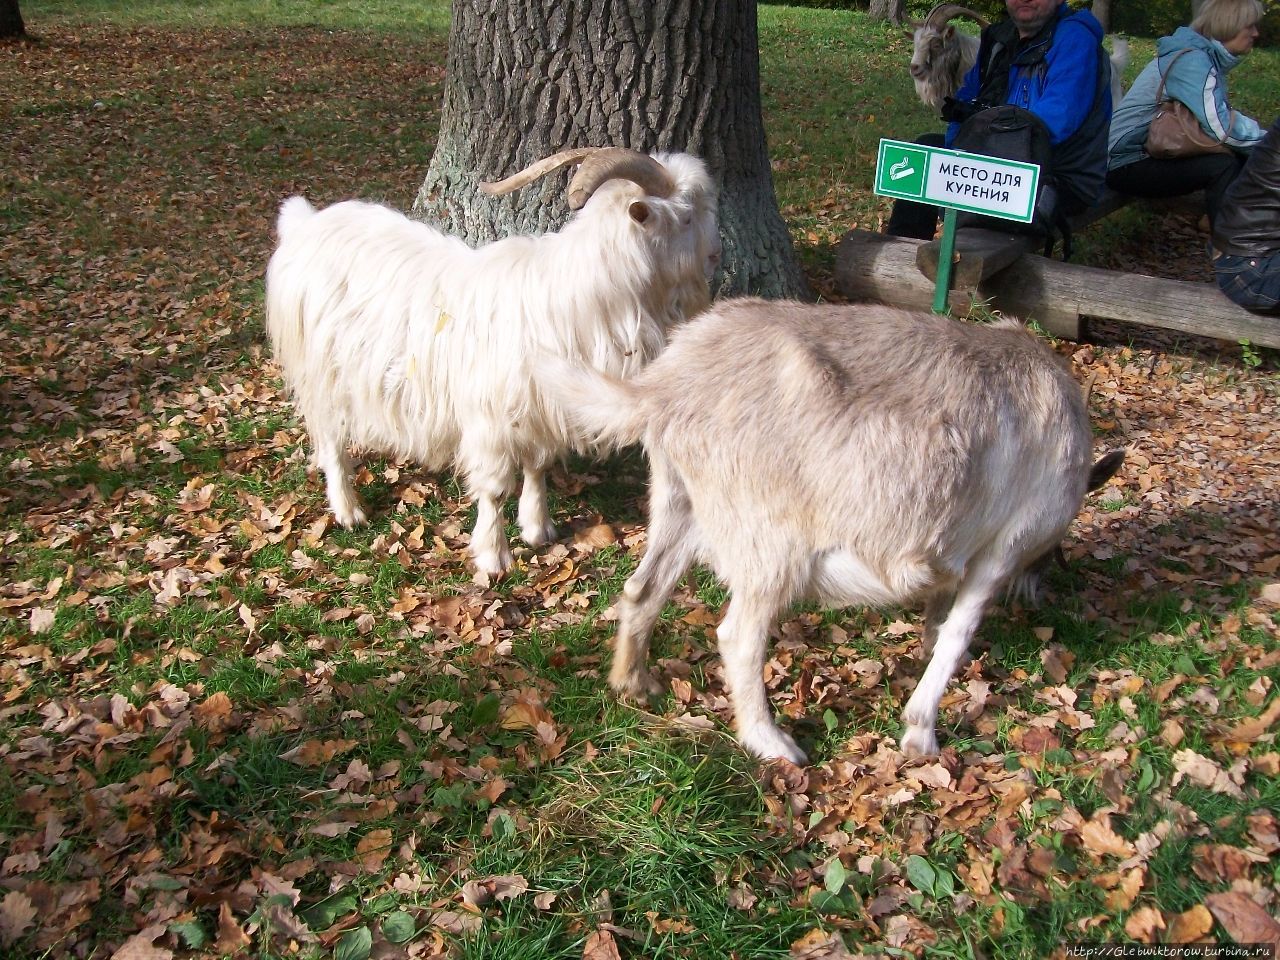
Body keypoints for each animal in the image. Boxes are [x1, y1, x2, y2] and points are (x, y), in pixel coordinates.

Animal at [264, 146, 721, 576]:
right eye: (685, 217)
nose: (716, 253)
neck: (584, 295)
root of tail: (304, 224)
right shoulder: (489, 419)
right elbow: (495, 488)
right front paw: (493, 554)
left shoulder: (541, 410)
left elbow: (537, 465)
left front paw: (538, 529)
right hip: (320, 370)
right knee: (330, 437)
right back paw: (348, 510)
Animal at [540, 300, 1121, 768]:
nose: (1036, 594)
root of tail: (662, 388)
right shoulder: (1001, 548)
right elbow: (957, 635)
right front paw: (921, 731)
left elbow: (939, 615)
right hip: (768, 543)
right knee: (738, 637)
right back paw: (771, 742)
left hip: (678, 503)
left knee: (643, 589)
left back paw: (635, 683)